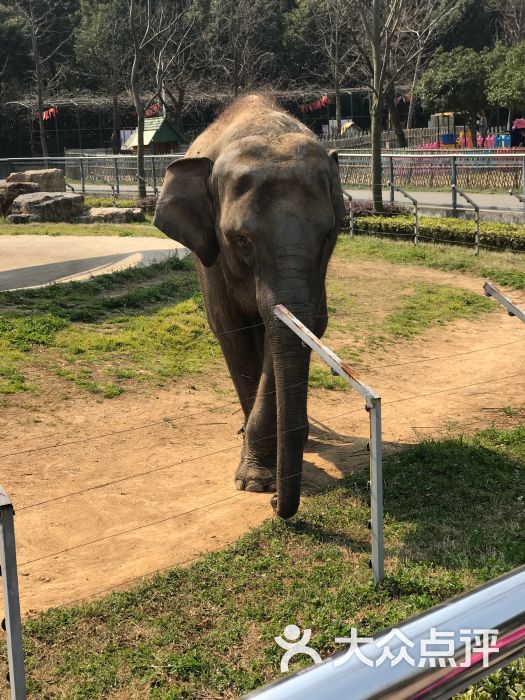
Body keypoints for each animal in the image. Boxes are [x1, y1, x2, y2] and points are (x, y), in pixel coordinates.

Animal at [154, 94, 346, 520]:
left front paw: (267, 474)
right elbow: (232, 333)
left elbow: (301, 330)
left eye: (328, 236)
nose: (277, 504)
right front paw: (257, 482)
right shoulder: (211, 259)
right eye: (241, 241)